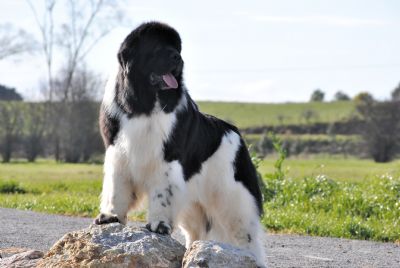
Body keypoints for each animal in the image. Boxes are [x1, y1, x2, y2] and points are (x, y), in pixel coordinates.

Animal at [94, 21, 266, 266]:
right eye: (158, 48)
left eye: (176, 48)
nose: (178, 58)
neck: (144, 105)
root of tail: (234, 132)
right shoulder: (118, 154)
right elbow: (116, 189)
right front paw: (110, 217)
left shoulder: (167, 162)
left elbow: (161, 194)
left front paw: (158, 226)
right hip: (193, 204)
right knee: (196, 232)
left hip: (234, 200)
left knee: (246, 237)